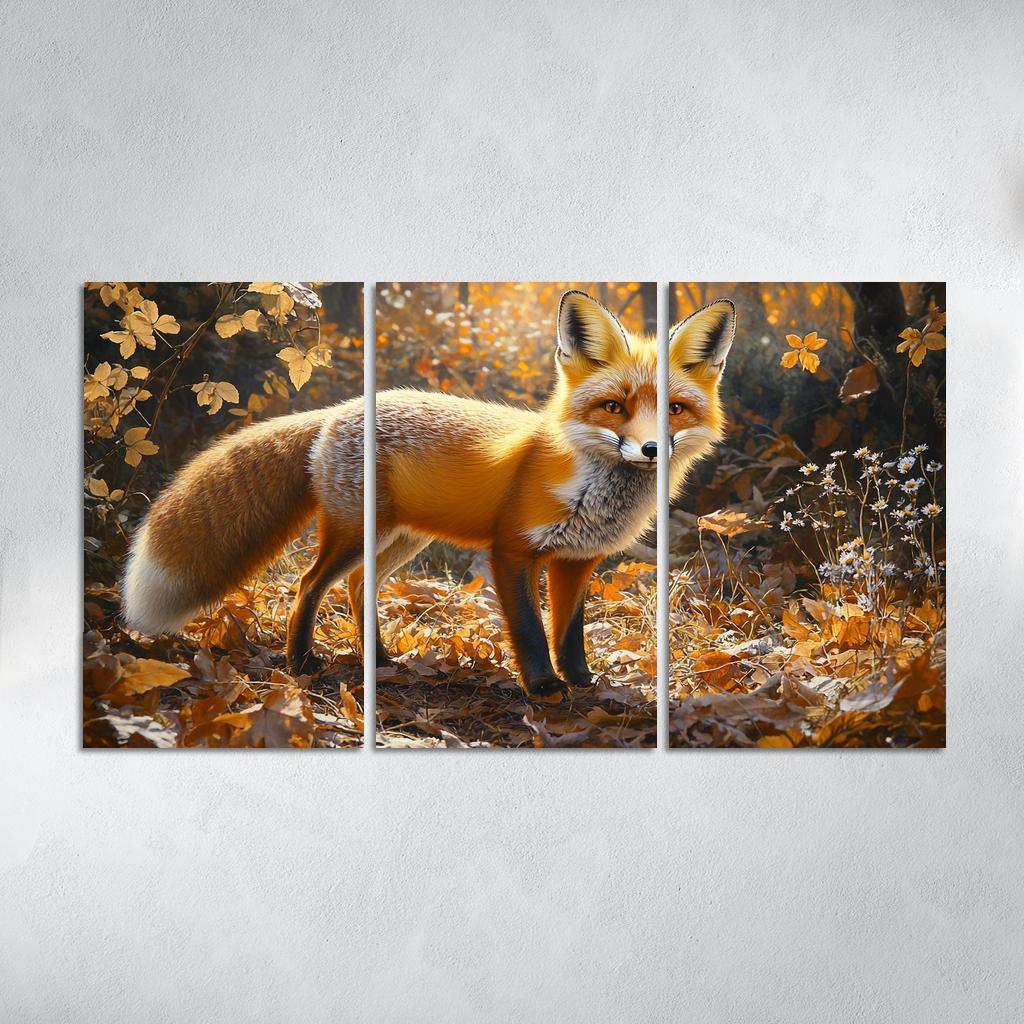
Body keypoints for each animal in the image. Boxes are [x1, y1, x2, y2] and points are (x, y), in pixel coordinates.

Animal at [123, 290, 735, 698]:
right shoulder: (511, 551)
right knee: (308, 585)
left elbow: (569, 634)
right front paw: (543, 688)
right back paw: (301, 663)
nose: (650, 449)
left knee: (358, 587)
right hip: (358, 531)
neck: (593, 488)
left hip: (400, 540)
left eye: (675, 408)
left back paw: (377, 659)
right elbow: (532, 631)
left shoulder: (578, 560)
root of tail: (338, 410)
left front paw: (582, 681)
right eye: (614, 407)